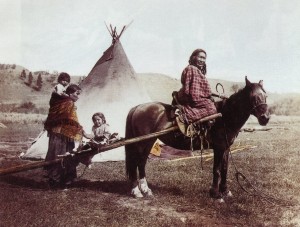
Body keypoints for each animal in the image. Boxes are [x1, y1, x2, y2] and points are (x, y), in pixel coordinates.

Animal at [125, 76, 270, 199]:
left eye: (265, 96)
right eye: (253, 97)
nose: (265, 118)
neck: (224, 117)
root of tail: (137, 108)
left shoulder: (226, 148)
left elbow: (224, 169)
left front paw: (225, 191)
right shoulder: (218, 148)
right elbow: (216, 170)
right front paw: (216, 194)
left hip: (148, 142)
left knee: (141, 163)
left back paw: (145, 190)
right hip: (142, 143)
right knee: (137, 163)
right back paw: (137, 191)